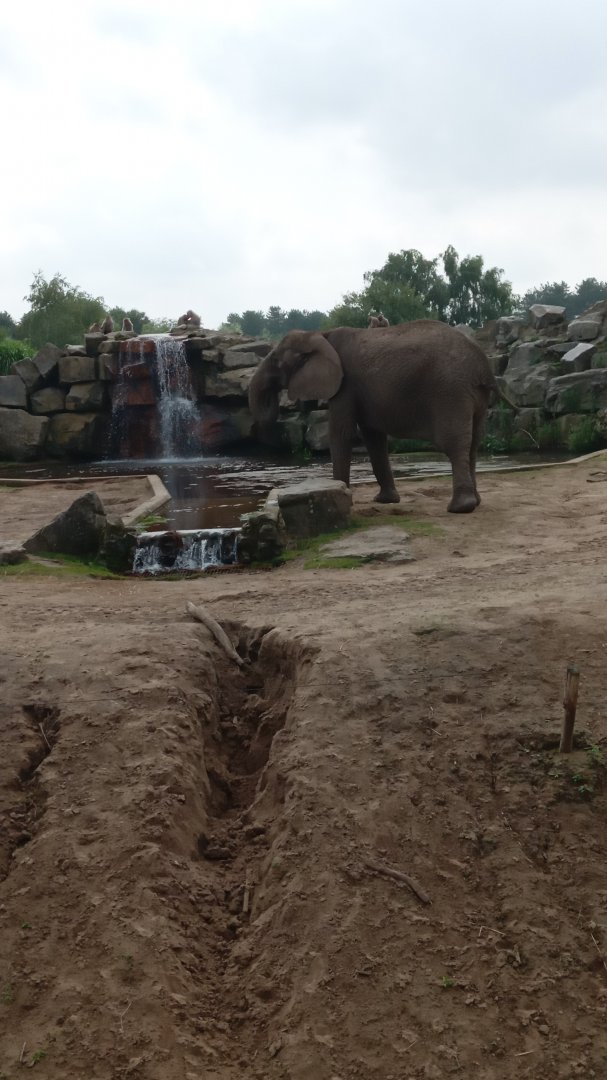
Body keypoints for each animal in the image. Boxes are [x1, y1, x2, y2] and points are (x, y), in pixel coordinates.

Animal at [248, 320, 505, 513]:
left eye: (276, 361)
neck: (320, 335)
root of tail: (484, 365)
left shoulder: (345, 385)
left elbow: (341, 433)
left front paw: (344, 495)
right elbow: (373, 437)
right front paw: (385, 501)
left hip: (450, 390)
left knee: (453, 443)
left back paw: (460, 508)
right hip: (473, 394)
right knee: (473, 444)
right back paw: (476, 502)